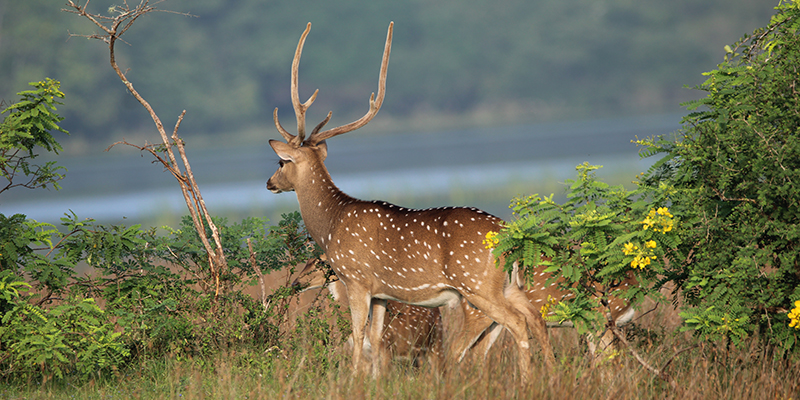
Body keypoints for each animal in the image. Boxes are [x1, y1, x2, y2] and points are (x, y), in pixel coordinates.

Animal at [294, 258, 444, 368]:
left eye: (321, 262)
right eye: (307, 261)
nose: (295, 283)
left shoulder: (387, 348)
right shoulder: (365, 355)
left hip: (436, 346)